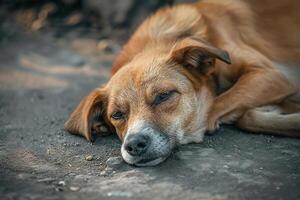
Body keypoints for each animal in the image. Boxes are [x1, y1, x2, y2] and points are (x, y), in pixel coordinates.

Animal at [64, 0, 300, 166]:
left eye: (163, 96)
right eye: (117, 114)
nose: (134, 145)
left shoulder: (273, 75)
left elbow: (219, 107)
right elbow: (243, 114)